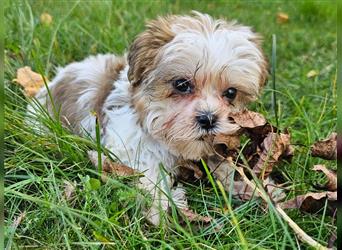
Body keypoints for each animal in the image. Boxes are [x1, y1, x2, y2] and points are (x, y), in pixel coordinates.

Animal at [28, 11, 268, 226]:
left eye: (231, 93)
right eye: (181, 84)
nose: (208, 119)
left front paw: (250, 186)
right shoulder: (127, 144)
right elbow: (146, 170)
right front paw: (162, 207)